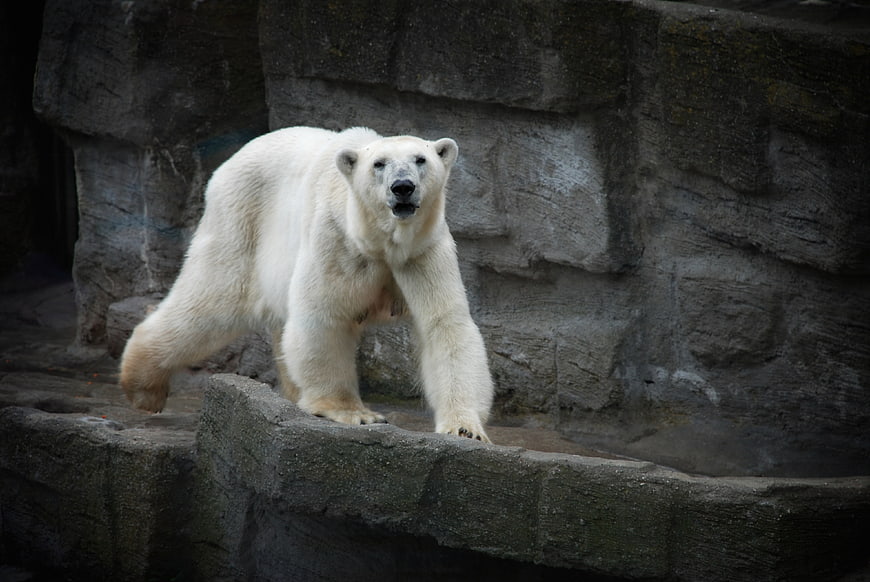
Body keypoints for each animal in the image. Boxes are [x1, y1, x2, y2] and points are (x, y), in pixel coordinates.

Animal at [120, 126, 494, 442]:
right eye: (379, 164)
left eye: (421, 159)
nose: (403, 187)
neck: (378, 241)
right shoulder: (336, 240)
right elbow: (323, 317)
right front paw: (354, 413)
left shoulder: (423, 252)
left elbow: (445, 326)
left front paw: (465, 429)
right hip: (240, 220)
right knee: (211, 301)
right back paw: (144, 388)